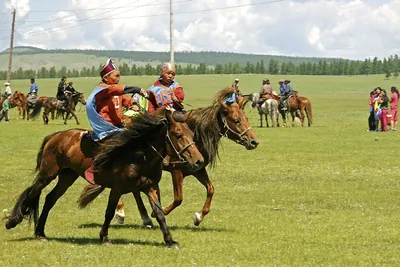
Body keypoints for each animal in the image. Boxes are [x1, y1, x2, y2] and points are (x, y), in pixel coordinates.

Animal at [3, 109, 203, 249]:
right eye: (178, 135)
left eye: (192, 134)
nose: (199, 160)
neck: (138, 156)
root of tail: (57, 135)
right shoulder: (117, 188)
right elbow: (109, 212)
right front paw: (104, 237)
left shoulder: (151, 187)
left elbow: (160, 213)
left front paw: (170, 240)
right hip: (47, 174)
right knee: (32, 193)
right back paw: (14, 222)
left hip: (67, 176)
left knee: (50, 198)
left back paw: (41, 233)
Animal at [112, 87, 260, 228]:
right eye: (236, 120)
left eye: (246, 118)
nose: (254, 142)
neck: (195, 135)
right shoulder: (176, 170)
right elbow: (178, 198)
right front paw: (159, 211)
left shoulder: (197, 169)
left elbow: (211, 189)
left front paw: (198, 217)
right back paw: (121, 212)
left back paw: (143, 218)